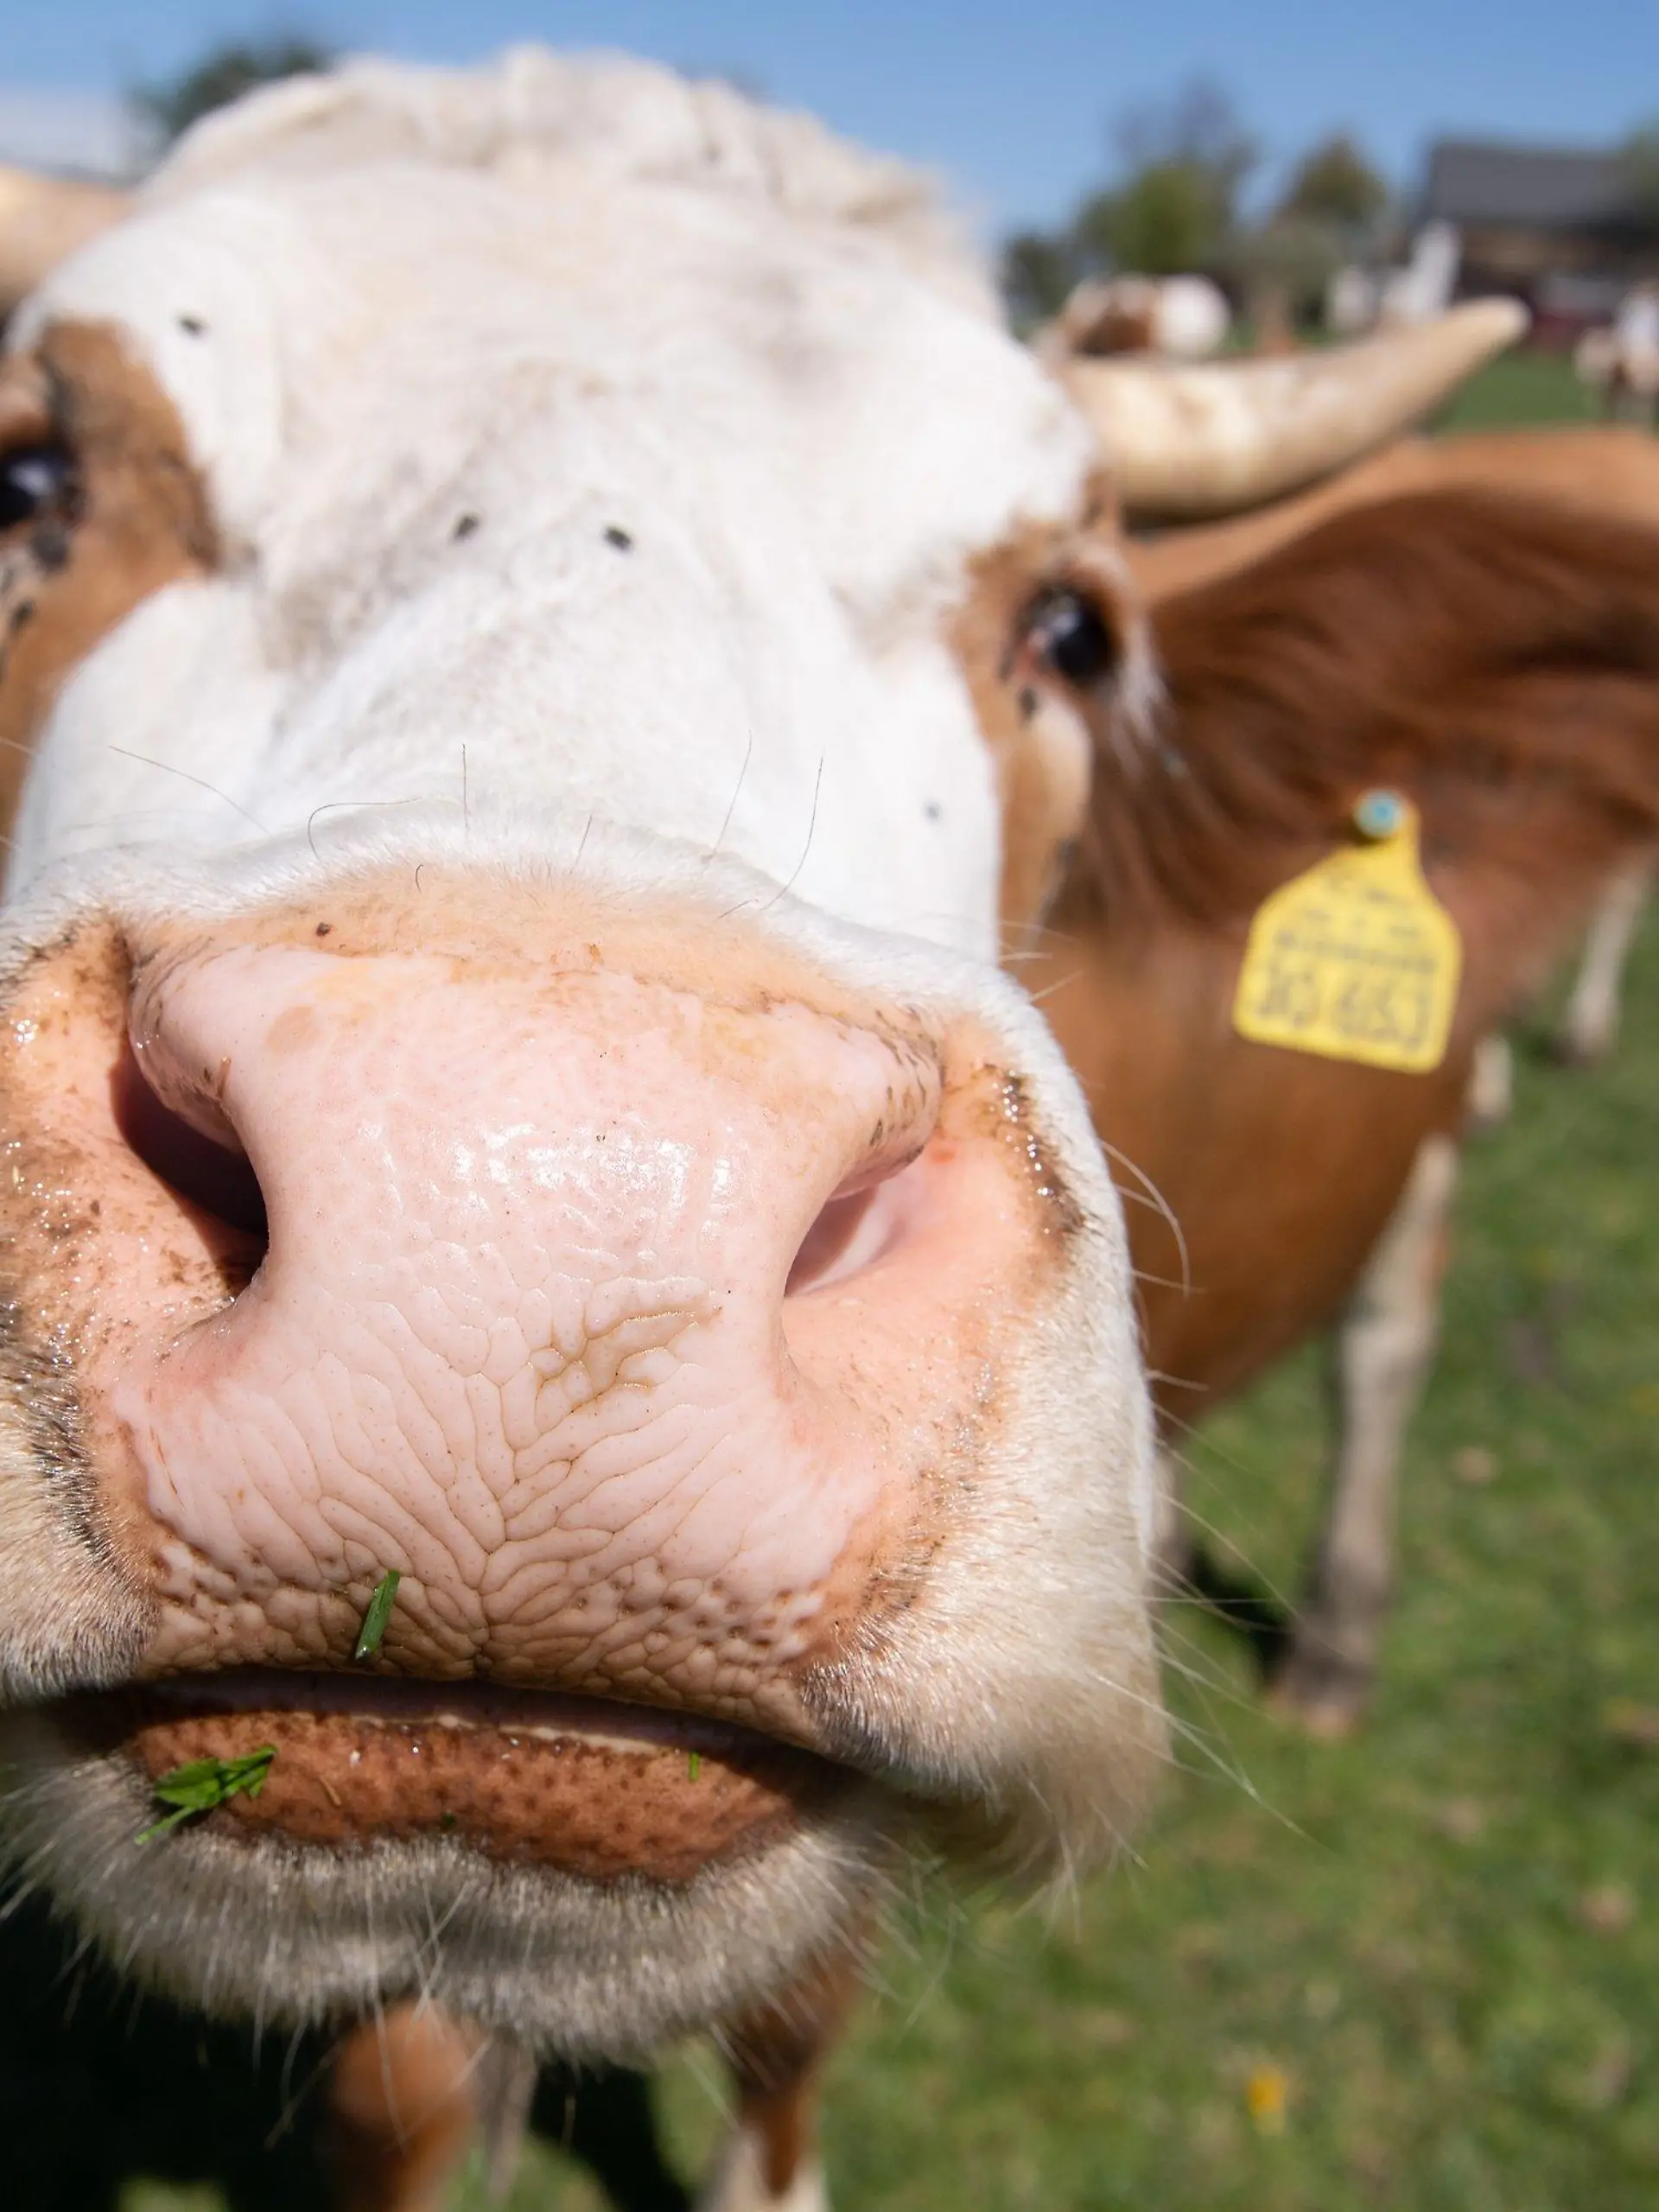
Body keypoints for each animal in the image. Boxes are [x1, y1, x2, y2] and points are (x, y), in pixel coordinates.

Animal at [0, 50, 1510, 2211]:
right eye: (29, 482)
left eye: (1074, 626)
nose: (531, 1201)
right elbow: (403, 2087)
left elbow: (796, 2015)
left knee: (1396, 1319)